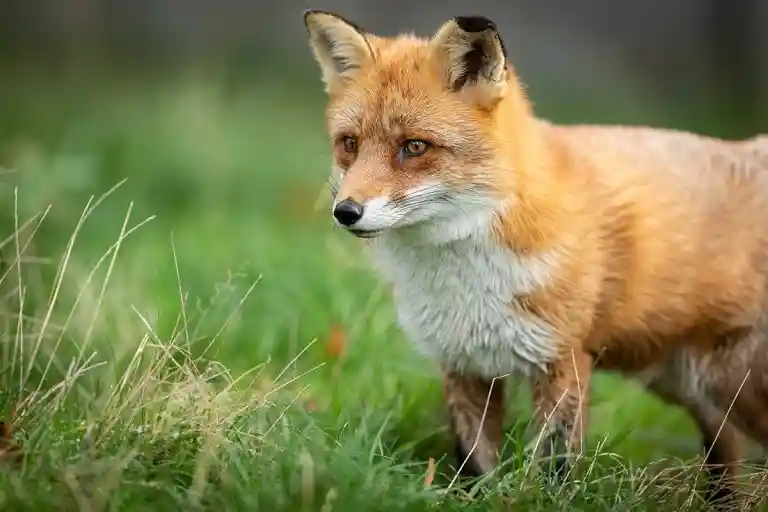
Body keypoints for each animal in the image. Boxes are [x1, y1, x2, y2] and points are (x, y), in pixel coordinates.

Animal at [300, 10, 768, 506]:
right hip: (692, 386)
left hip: (734, 384)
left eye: (414, 146)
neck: (465, 281)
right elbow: (476, 466)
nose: (346, 212)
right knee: (727, 446)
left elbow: (552, 468)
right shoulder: (464, 363)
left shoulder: (562, 360)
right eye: (349, 143)